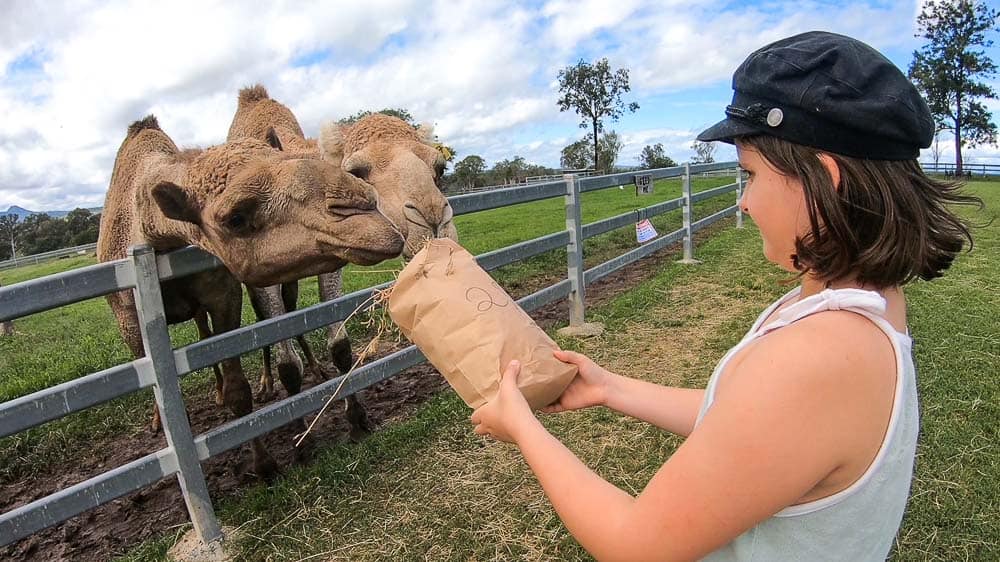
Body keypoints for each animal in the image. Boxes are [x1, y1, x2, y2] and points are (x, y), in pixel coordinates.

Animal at [96, 116, 402, 474]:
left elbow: (238, 390)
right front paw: (267, 464)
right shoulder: (129, 318)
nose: (366, 207)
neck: (153, 238)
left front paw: (266, 463)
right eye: (236, 218)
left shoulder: (224, 298)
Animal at [226, 86, 458, 438]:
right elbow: (284, 357)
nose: (432, 219)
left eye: (440, 168)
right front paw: (301, 435)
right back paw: (266, 385)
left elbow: (340, 345)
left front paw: (357, 418)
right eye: (356, 171)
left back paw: (316, 369)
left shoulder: (334, 256)